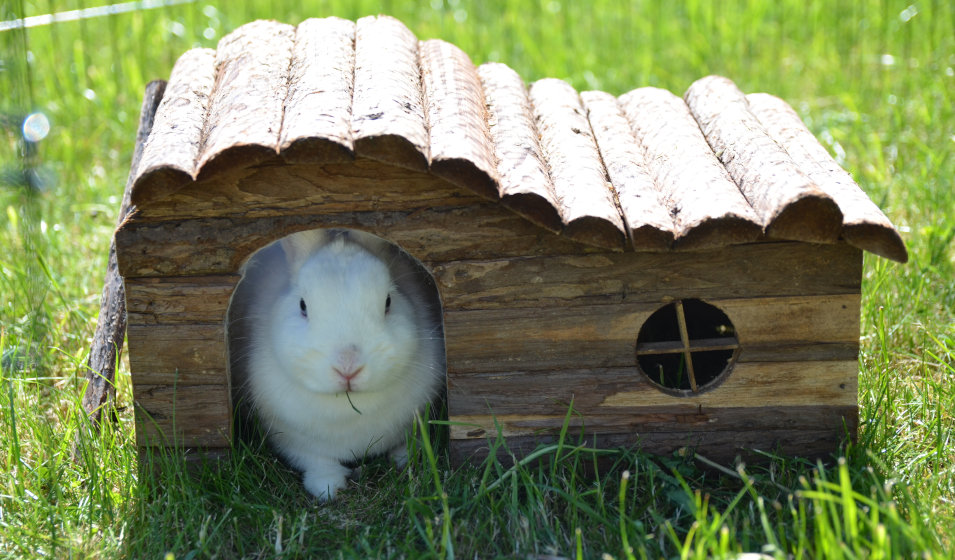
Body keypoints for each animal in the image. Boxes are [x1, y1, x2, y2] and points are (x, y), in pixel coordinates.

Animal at [228, 229, 446, 501]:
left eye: (388, 302)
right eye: (302, 305)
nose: (348, 367)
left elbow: (408, 442)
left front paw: (407, 460)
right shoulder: (291, 438)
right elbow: (315, 459)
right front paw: (328, 487)